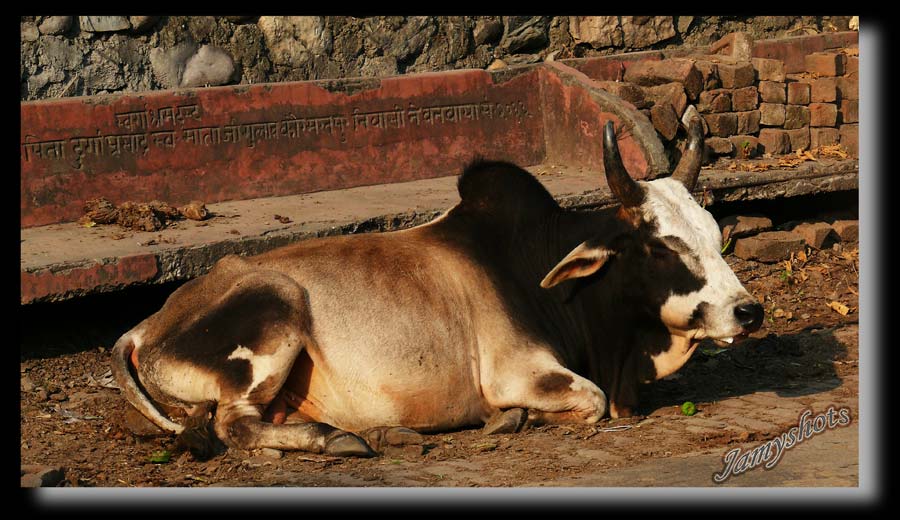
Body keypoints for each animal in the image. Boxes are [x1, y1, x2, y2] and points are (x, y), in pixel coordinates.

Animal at [111, 118, 764, 458]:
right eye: (660, 248)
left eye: (714, 235)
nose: (749, 312)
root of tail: (144, 328)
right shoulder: (517, 373)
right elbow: (592, 402)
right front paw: (508, 422)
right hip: (277, 309)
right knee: (234, 424)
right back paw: (334, 439)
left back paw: (376, 432)